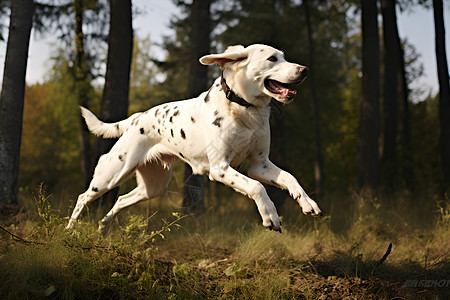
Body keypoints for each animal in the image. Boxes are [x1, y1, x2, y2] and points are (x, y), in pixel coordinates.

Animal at [65, 43, 322, 233]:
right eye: (272, 59)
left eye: (284, 57)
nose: (305, 69)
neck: (243, 108)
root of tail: (137, 117)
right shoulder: (220, 168)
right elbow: (256, 187)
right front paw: (270, 215)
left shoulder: (259, 164)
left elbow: (289, 177)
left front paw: (306, 201)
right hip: (111, 174)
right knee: (82, 197)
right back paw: (69, 230)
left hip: (153, 187)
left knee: (119, 201)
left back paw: (103, 228)